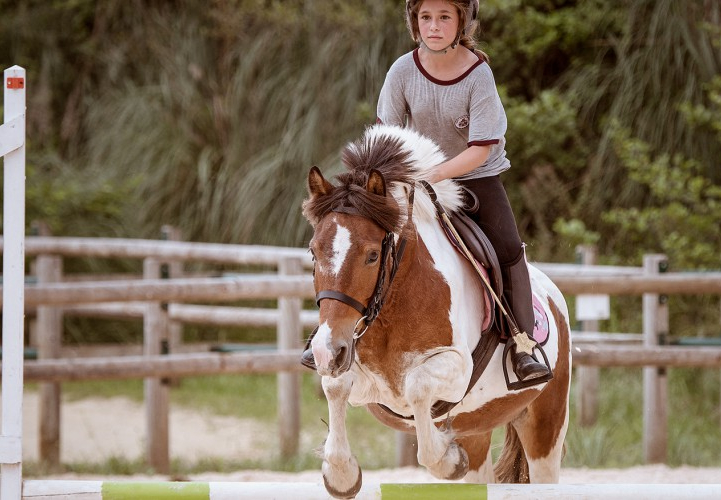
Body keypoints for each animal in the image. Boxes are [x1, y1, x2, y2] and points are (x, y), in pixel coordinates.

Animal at [300, 124, 572, 496]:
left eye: (372, 255)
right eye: (313, 253)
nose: (329, 351)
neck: (394, 301)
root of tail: (554, 296)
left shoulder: (457, 369)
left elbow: (417, 387)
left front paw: (447, 460)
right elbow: (335, 386)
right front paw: (341, 475)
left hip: (546, 425)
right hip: (477, 429)